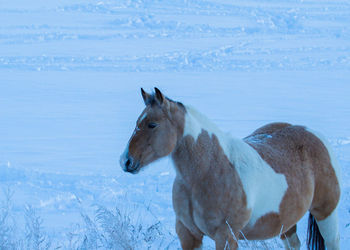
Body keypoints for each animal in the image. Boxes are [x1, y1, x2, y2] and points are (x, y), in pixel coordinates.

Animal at [119, 88, 340, 250]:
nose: (125, 161)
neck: (210, 171)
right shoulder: (188, 234)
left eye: (152, 124)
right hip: (287, 222)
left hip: (326, 212)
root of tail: (311, 132)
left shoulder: (225, 236)